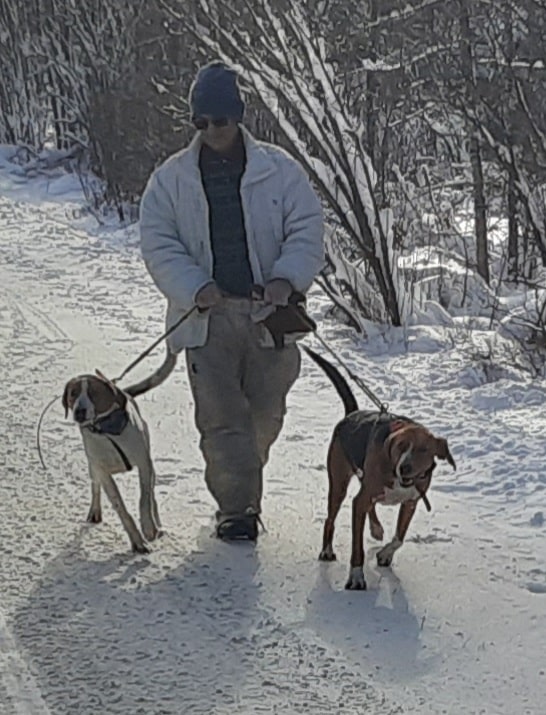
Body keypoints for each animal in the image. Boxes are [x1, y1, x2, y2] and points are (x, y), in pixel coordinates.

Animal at [62, 346, 175, 552]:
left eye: (94, 393)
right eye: (73, 393)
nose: (79, 411)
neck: (106, 430)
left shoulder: (144, 463)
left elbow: (145, 499)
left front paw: (148, 527)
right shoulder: (103, 472)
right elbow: (120, 507)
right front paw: (137, 541)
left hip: (149, 462)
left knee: (152, 494)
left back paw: (157, 525)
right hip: (93, 468)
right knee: (95, 487)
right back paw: (95, 511)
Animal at [304, 346, 452, 588]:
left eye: (423, 449)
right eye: (401, 446)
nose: (405, 468)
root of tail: (350, 415)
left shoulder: (411, 502)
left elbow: (399, 537)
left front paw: (385, 554)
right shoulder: (360, 502)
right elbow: (357, 548)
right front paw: (356, 577)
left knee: (368, 505)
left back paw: (375, 527)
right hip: (339, 483)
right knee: (330, 519)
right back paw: (327, 550)